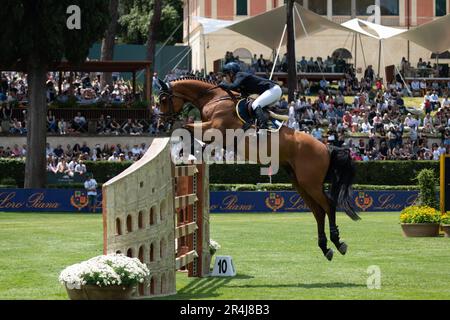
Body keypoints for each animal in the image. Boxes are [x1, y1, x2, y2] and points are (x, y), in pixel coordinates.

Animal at [156, 77, 360, 260]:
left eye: (164, 100)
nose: (160, 124)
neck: (213, 99)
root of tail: (326, 147)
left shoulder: (216, 129)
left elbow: (186, 126)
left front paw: (185, 148)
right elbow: (190, 132)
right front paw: (188, 150)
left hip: (311, 183)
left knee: (329, 205)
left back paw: (338, 242)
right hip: (300, 183)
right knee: (318, 211)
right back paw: (325, 247)